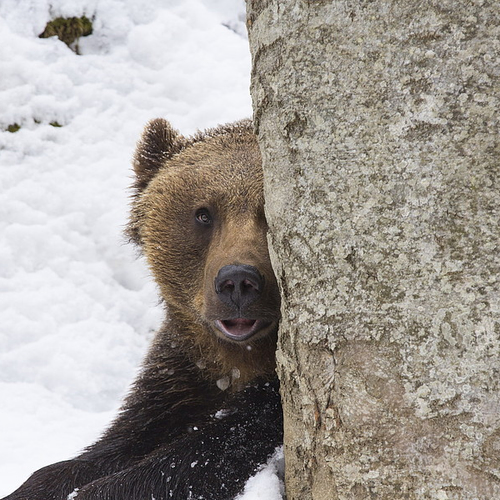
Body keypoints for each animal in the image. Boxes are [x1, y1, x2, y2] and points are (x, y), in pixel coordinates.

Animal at [2, 120, 282, 500]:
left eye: (267, 212)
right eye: (203, 214)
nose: (237, 281)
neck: (241, 359)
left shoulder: (269, 401)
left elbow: (208, 450)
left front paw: (102, 489)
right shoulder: (185, 371)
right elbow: (125, 436)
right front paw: (36, 484)